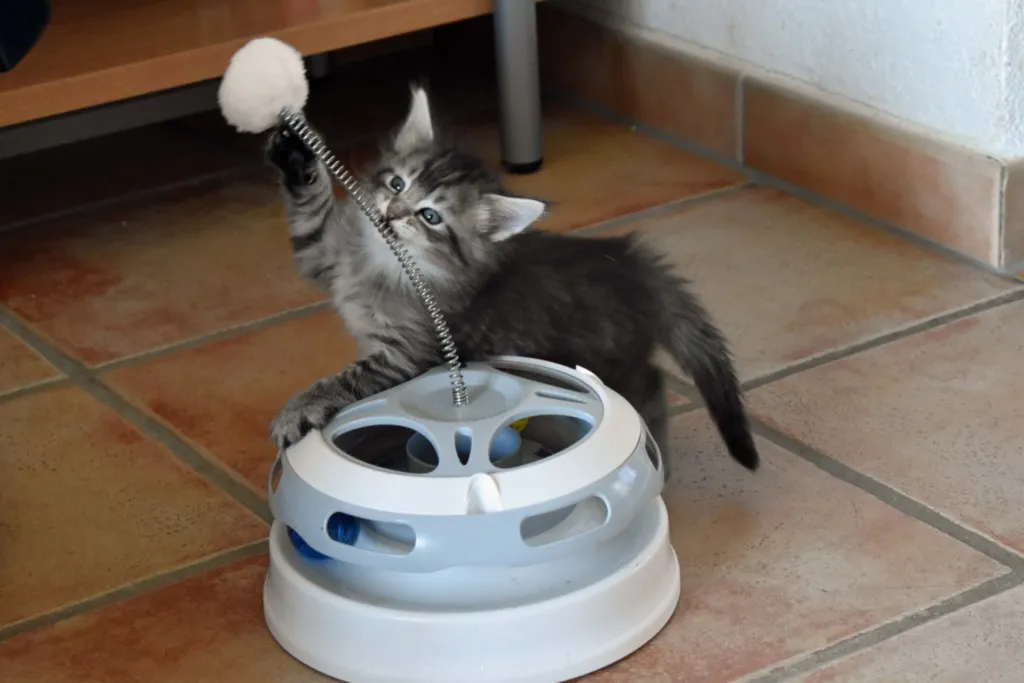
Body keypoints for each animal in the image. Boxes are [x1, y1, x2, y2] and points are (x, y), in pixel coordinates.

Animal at [265, 85, 759, 474]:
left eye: (430, 217)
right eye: (397, 184)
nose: (391, 214)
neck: (375, 262)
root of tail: (631, 261)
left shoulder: (406, 354)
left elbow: (345, 380)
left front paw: (297, 409)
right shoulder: (322, 254)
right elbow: (310, 211)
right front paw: (296, 152)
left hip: (615, 362)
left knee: (652, 385)